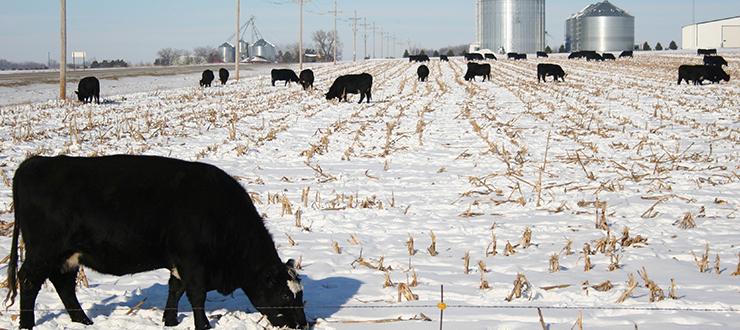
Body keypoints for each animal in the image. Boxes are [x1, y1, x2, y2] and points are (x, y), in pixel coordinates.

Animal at [5, 155, 306, 330]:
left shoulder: (179, 262)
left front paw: (170, 321)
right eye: (284, 295)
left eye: (300, 294)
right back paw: (27, 325)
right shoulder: (193, 260)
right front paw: (203, 325)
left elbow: (175, 289)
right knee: (29, 282)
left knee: (64, 284)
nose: (303, 325)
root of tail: (35, 162)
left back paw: (83, 321)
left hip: (67, 255)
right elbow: (196, 294)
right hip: (43, 251)